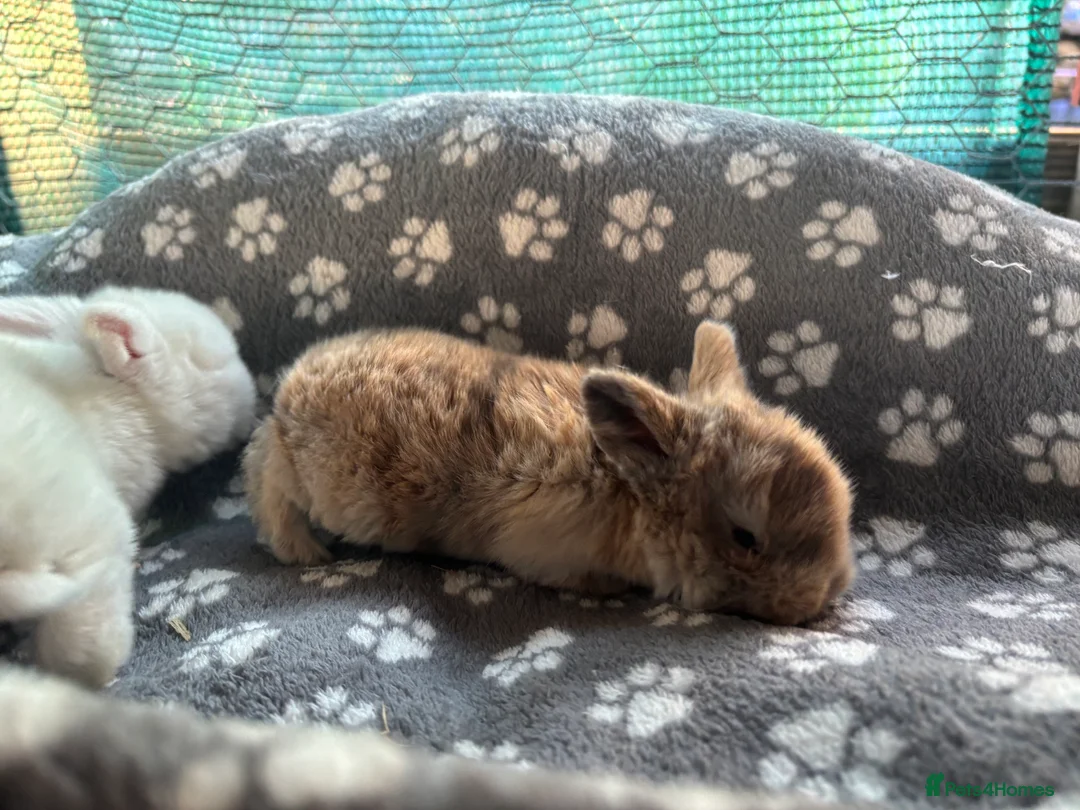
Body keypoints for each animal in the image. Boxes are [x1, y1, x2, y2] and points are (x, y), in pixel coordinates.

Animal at [244, 320, 855, 625]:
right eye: (745, 537)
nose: (825, 596)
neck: (627, 490)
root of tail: (294, 386)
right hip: (322, 485)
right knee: (266, 478)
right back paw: (306, 553)